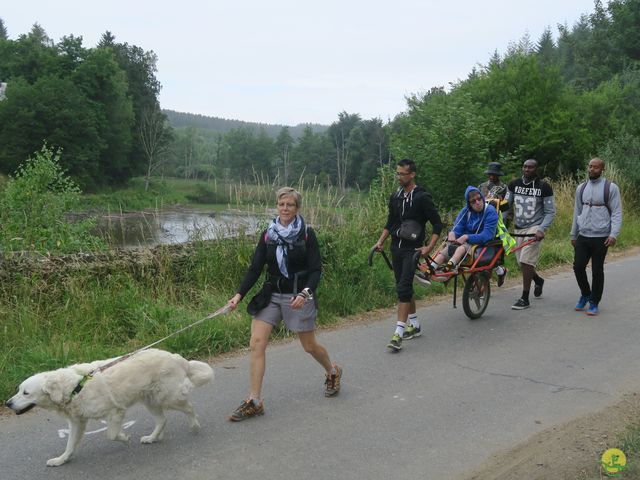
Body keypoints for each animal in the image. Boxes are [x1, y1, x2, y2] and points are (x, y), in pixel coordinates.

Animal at [5, 346, 214, 466]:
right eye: (18, 390)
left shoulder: (115, 412)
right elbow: (70, 445)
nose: (7, 403)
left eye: (26, 393)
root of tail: (176, 357)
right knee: (162, 420)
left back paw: (194, 426)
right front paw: (61, 460)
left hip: (168, 397)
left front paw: (124, 437)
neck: (74, 387)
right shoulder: (77, 423)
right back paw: (153, 437)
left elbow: (111, 434)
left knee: (189, 408)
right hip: (150, 400)